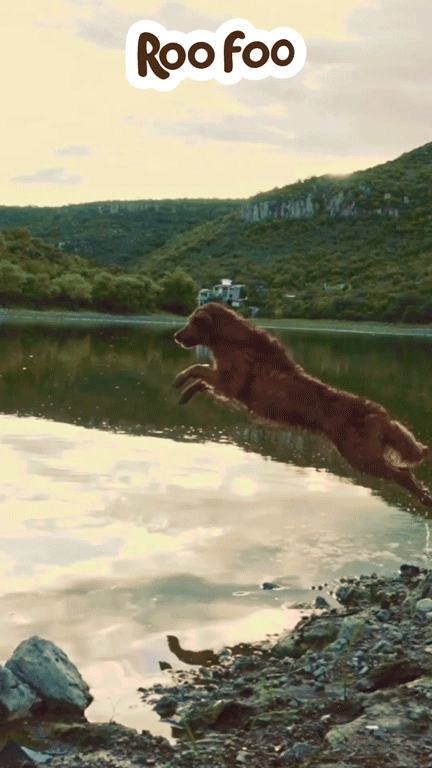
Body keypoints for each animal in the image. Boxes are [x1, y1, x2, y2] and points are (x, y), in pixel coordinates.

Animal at [173, 302, 432, 507]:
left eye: (191, 322)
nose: (176, 335)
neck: (231, 339)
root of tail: (381, 413)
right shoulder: (227, 387)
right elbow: (201, 381)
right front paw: (185, 394)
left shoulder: (230, 381)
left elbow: (198, 368)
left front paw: (179, 379)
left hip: (360, 455)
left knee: (403, 473)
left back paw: (424, 498)